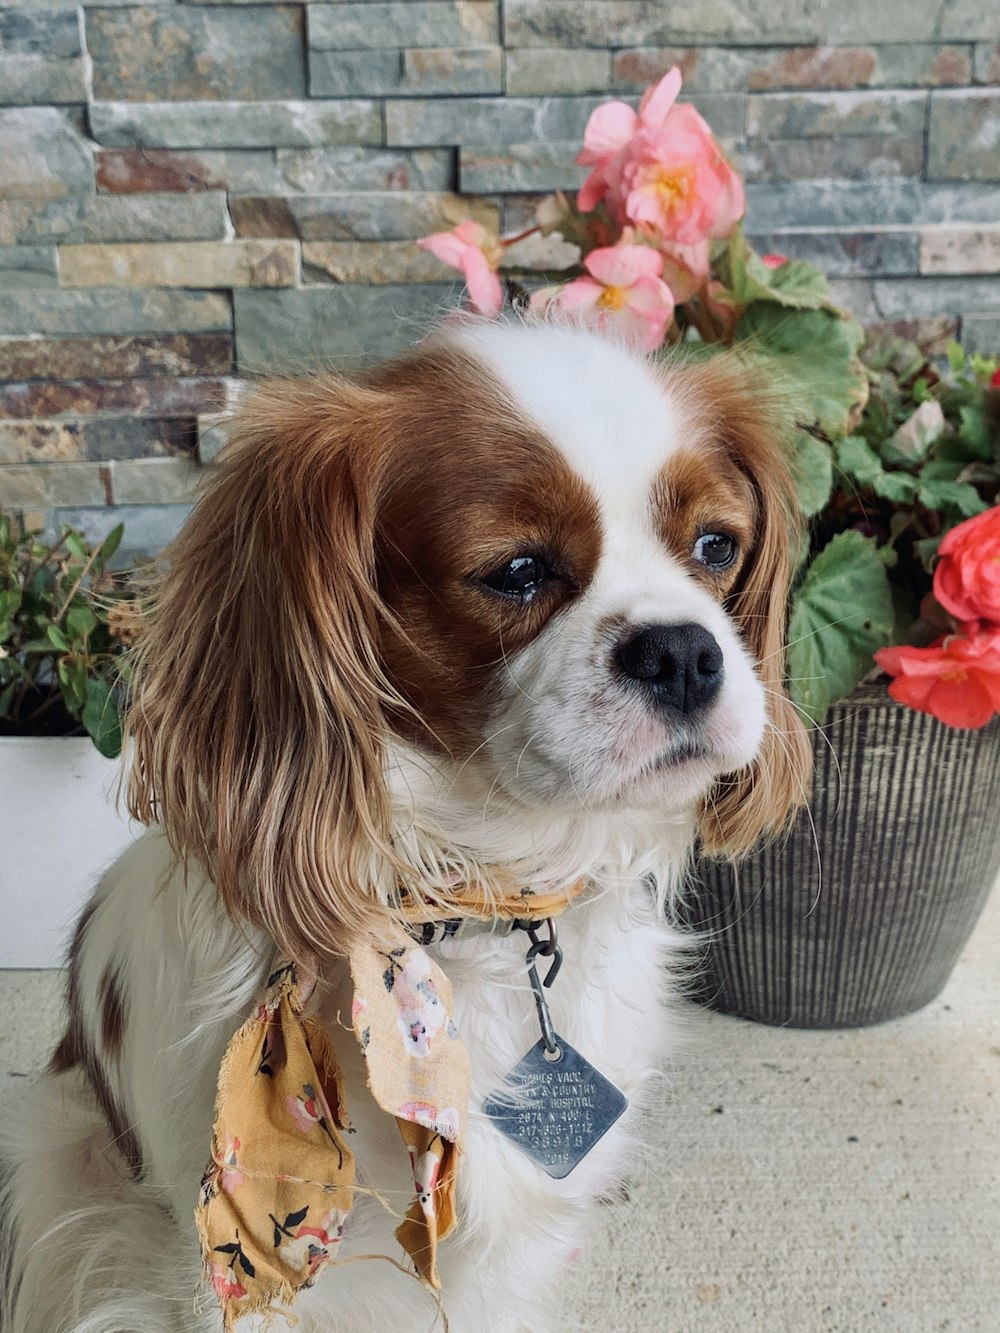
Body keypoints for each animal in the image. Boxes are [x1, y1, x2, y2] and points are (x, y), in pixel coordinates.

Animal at [1, 322, 816, 1333]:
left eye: (716, 544)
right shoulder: (233, 1268)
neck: (466, 899)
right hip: (57, 1164)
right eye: (517, 570)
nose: (683, 650)